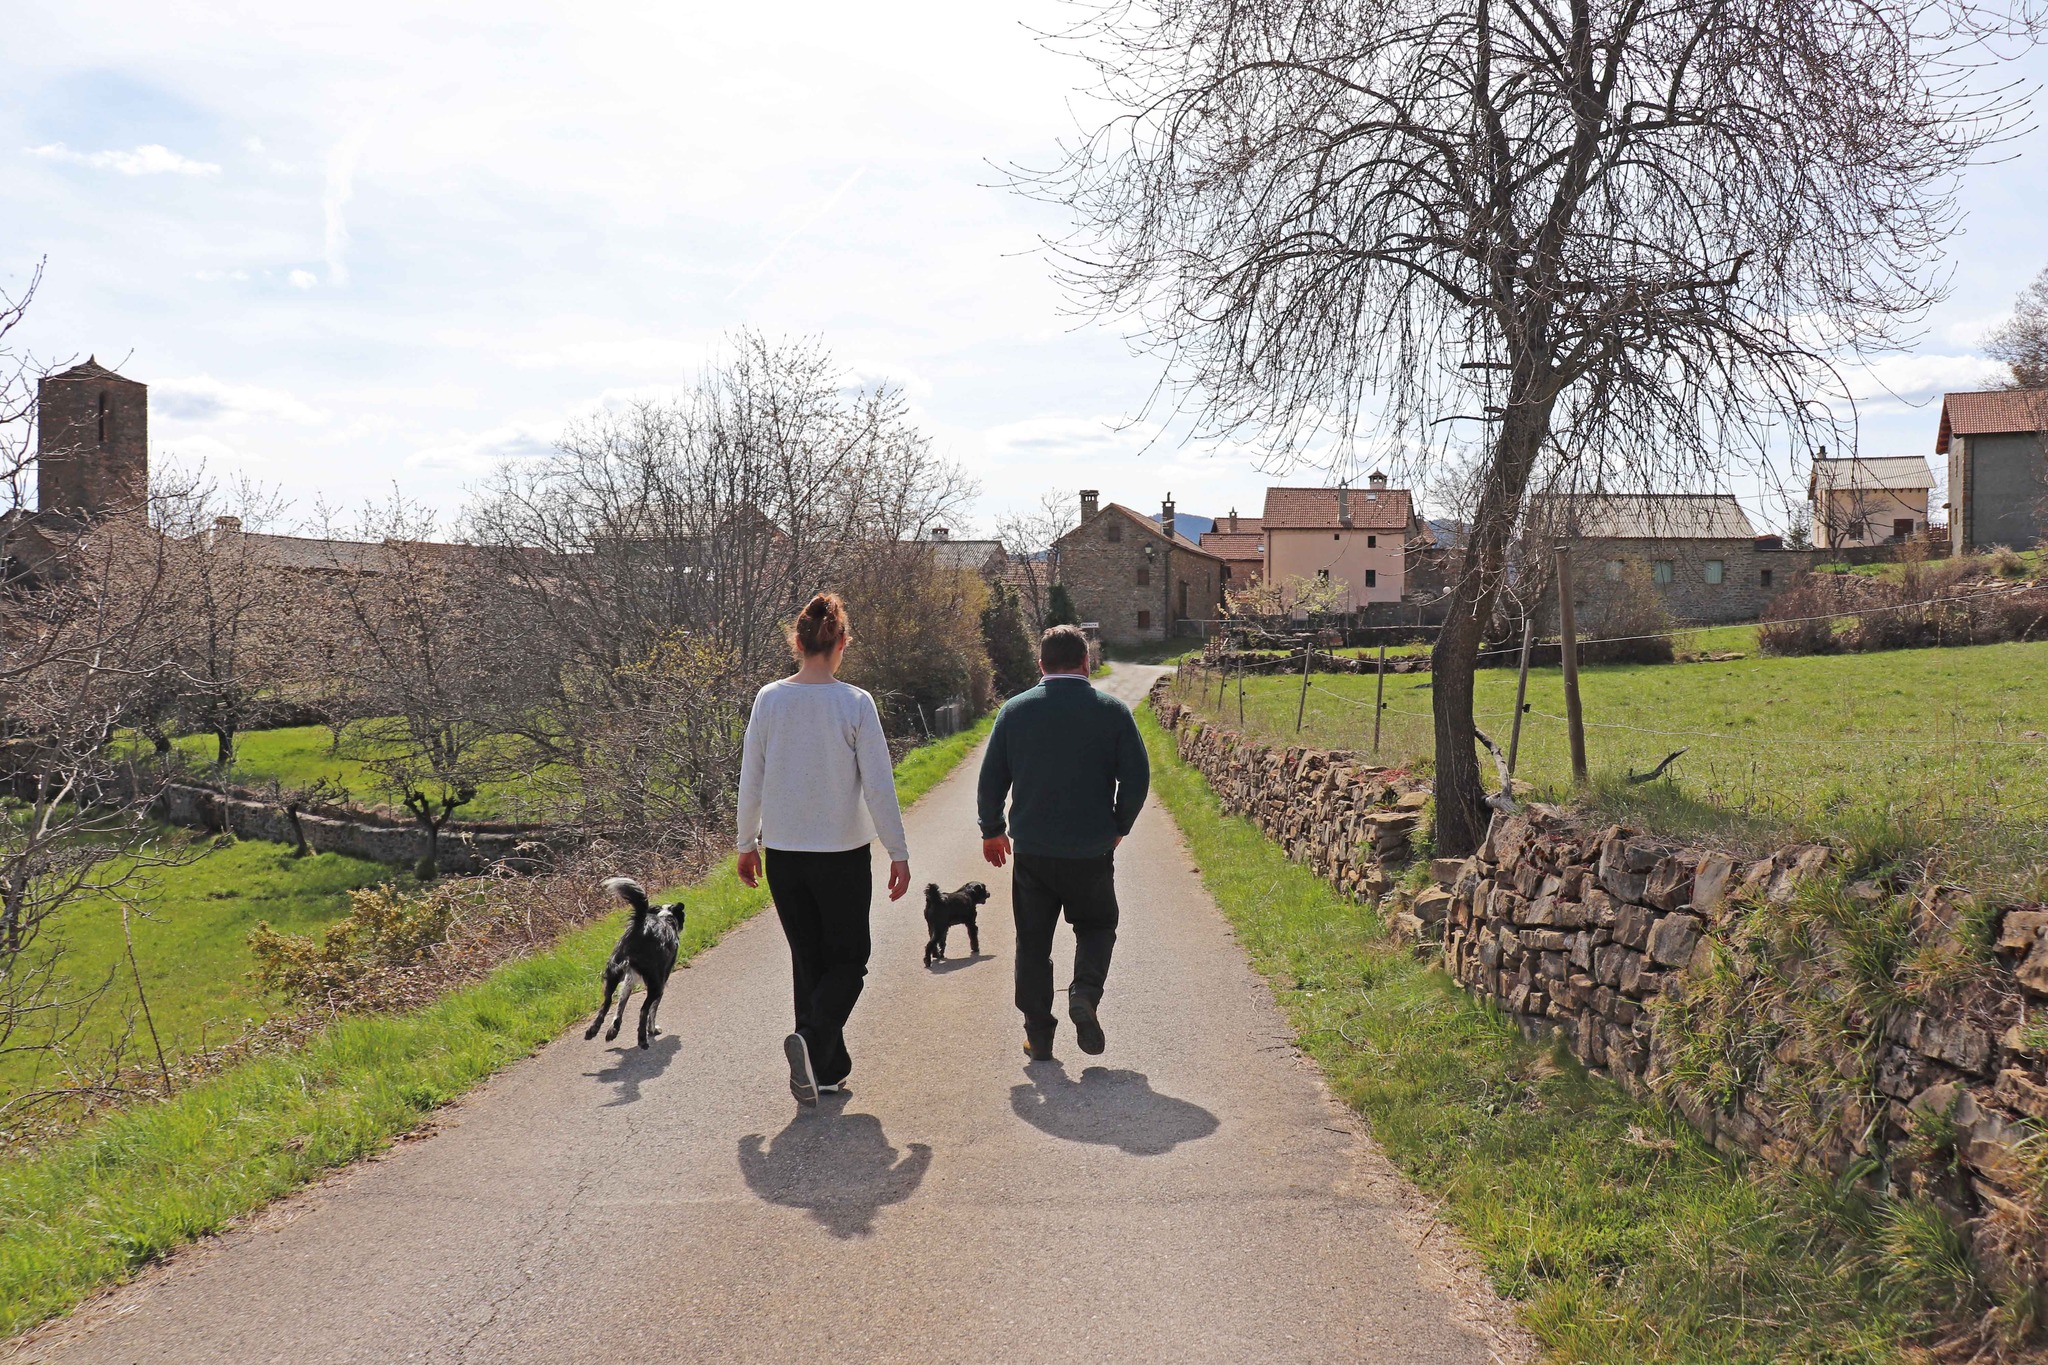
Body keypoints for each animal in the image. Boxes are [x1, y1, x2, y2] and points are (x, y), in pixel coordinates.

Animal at [585, 879, 688, 1055]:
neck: (665, 919)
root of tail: (641, 925)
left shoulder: (629, 979)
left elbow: (620, 1007)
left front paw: (613, 1030)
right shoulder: (661, 983)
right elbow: (652, 1011)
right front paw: (652, 1030)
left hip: (613, 974)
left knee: (606, 1004)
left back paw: (593, 1030)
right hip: (656, 985)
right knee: (643, 1010)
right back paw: (642, 1039)